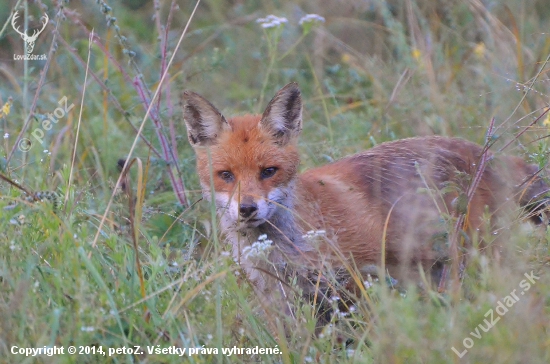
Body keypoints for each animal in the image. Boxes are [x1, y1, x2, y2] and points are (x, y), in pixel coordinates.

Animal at [183, 82, 548, 310]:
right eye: (226, 176)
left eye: (268, 171)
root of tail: (481, 152)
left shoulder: (358, 277)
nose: (247, 208)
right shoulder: (280, 297)